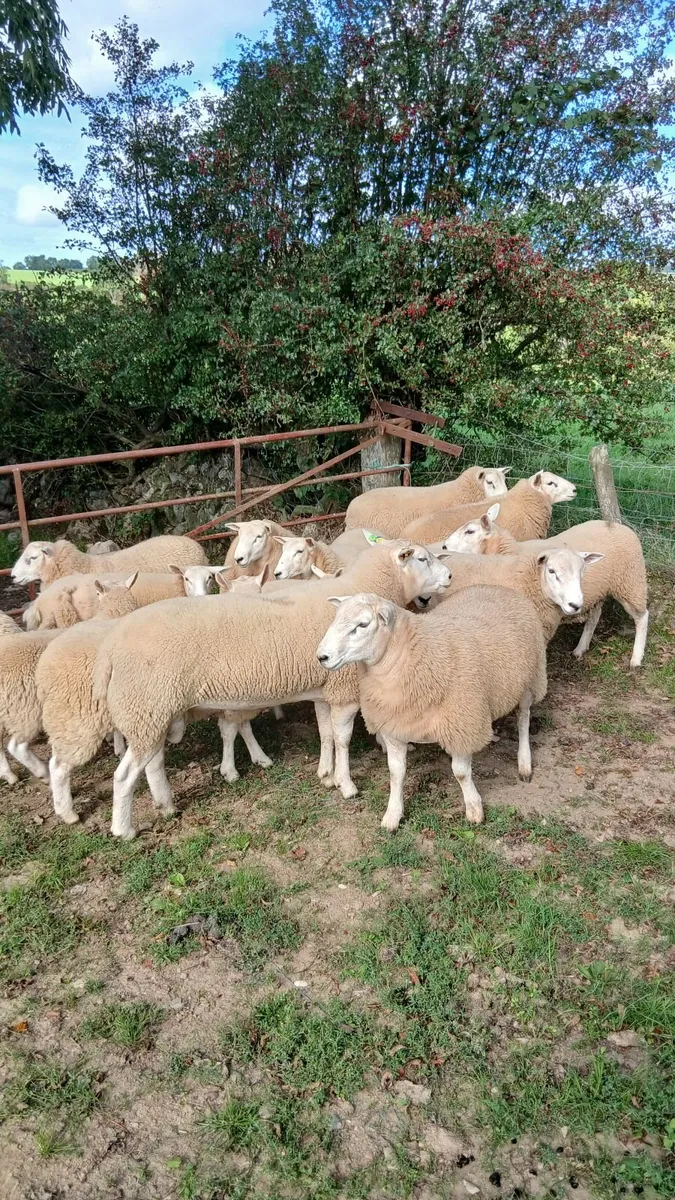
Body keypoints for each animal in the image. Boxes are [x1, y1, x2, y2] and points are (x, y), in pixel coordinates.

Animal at [93, 541, 451, 838]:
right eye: (421, 558)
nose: (449, 575)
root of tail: (110, 647)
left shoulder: (324, 688)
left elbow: (326, 734)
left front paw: (326, 773)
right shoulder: (344, 689)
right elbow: (343, 739)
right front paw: (346, 785)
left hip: (151, 712)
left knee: (153, 764)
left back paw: (166, 806)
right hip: (146, 708)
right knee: (125, 776)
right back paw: (124, 829)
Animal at [315, 587, 548, 829]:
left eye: (362, 625)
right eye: (335, 618)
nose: (322, 657)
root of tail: (499, 588)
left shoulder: (460, 724)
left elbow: (461, 773)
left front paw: (474, 808)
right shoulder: (394, 727)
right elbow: (396, 773)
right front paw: (393, 815)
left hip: (531, 678)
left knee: (523, 718)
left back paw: (524, 762)